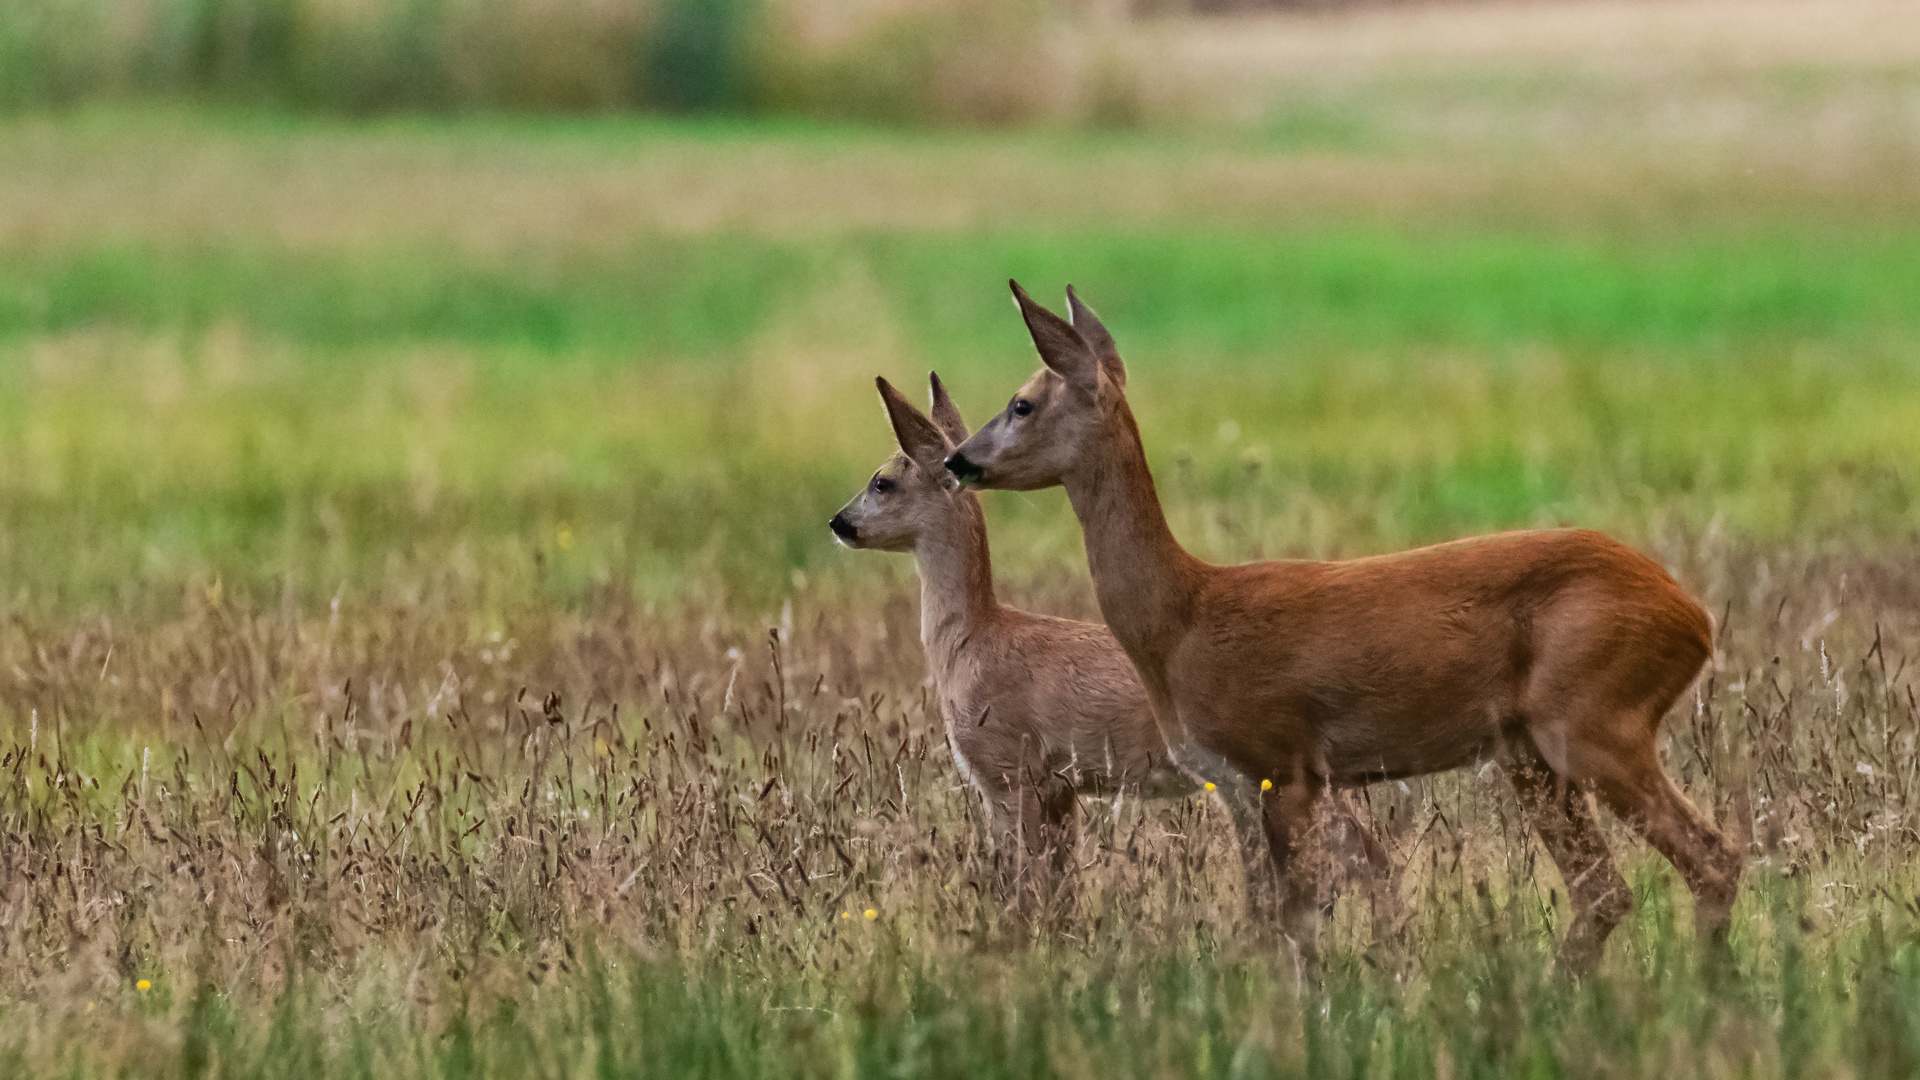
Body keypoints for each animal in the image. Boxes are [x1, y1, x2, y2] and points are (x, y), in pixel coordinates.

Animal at [829, 372, 1397, 926]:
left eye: (882, 481)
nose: (838, 522)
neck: (972, 642)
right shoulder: (1059, 785)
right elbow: (1060, 893)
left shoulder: (1010, 767)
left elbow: (1023, 890)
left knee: (1362, 857)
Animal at [944, 282, 1743, 960]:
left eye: (1021, 403)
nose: (957, 460)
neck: (1183, 620)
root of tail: (1694, 619)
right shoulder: (1240, 781)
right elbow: (1269, 922)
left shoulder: (1286, 758)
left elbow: (1297, 921)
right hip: (1532, 752)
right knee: (1607, 890)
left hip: (1595, 717)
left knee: (1712, 858)